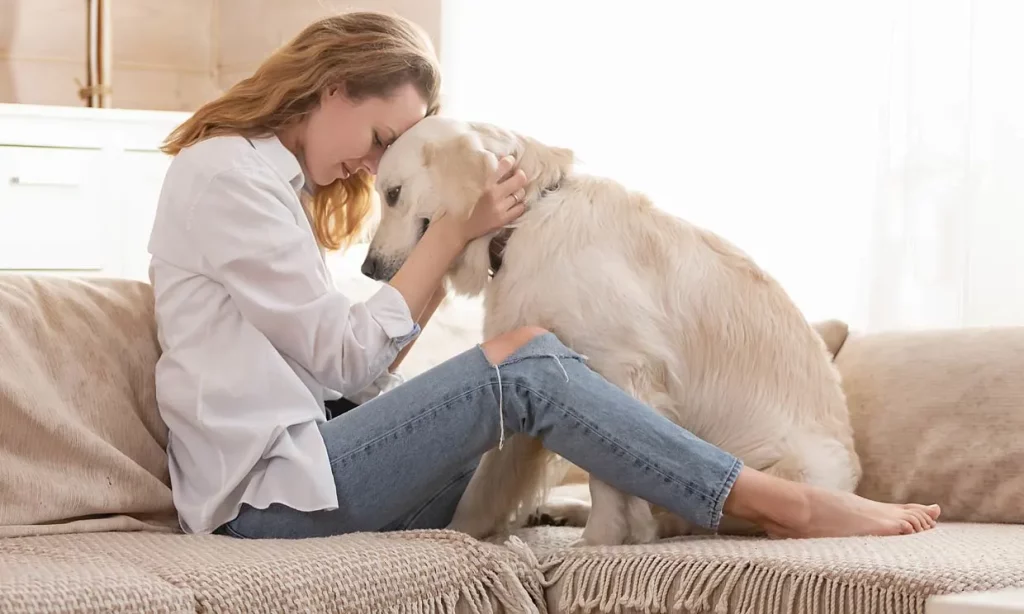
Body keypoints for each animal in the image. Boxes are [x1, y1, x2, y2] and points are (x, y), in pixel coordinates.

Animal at [360, 116, 856, 548]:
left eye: (393, 194)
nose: (367, 268)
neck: (529, 218)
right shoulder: (527, 366)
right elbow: (489, 480)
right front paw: (460, 532)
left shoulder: (621, 369)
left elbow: (608, 477)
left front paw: (601, 540)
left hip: (790, 468)